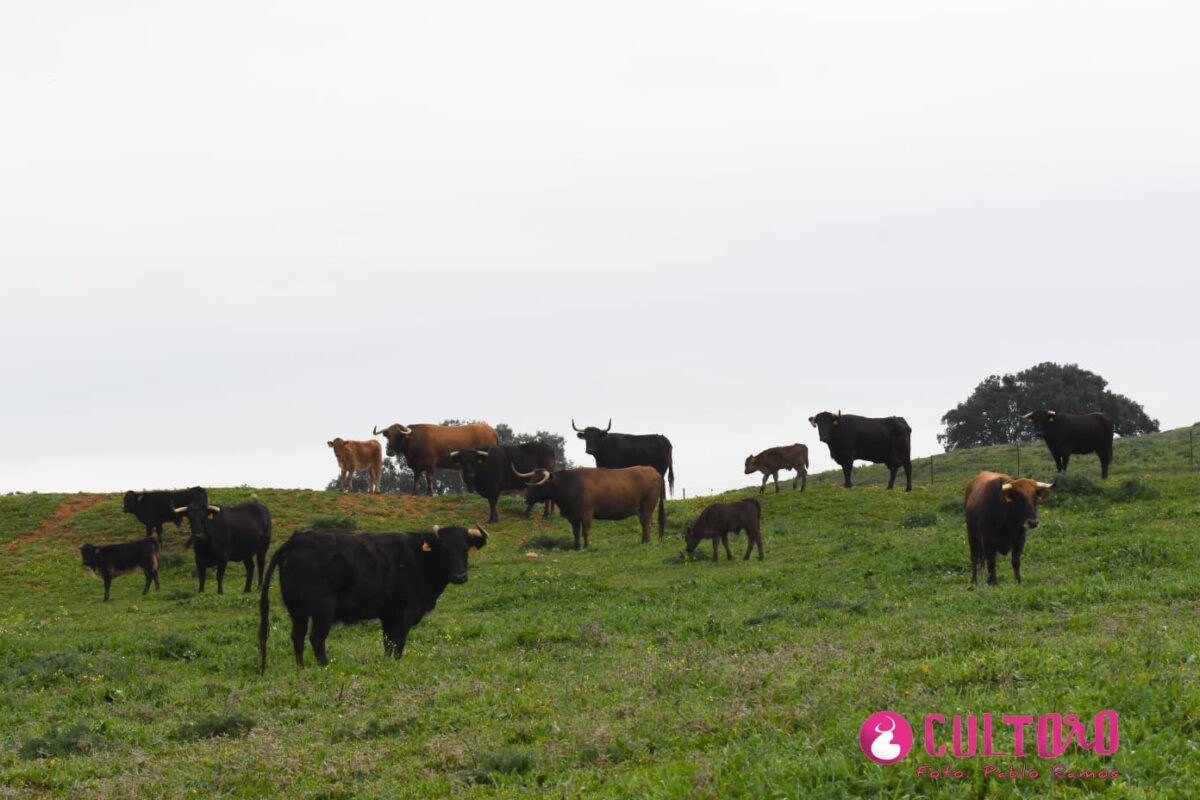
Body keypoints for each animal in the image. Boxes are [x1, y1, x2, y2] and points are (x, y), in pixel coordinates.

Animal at [258, 525, 487, 671]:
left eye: (465, 549)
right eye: (444, 550)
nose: (459, 576)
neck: (419, 558)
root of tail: (297, 540)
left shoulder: (389, 614)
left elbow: (388, 641)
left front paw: (387, 663)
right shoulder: (405, 611)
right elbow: (398, 641)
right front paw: (396, 664)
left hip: (297, 610)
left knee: (297, 637)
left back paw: (302, 668)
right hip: (323, 609)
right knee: (316, 638)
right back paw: (325, 666)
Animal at [516, 462, 667, 551]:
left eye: (538, 482)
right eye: (531, 479)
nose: (526, 499)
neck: (570, 484)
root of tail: (654, 471)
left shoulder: (586, 513)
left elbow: (585, 531)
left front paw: (586, 547)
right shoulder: (574, 516)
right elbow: (576, 532)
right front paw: (576, 547)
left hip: (647, 507)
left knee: (647, 524)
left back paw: (646, 542)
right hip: (641, 509)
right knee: (644, 524)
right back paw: (643, 541)